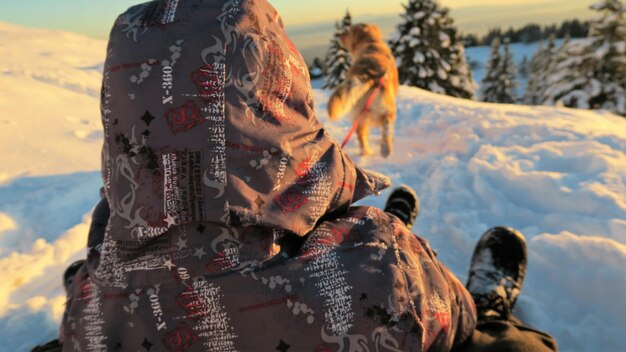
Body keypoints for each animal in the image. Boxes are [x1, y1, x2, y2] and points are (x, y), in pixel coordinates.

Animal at [326, 24, 400, 157]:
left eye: (348, 32)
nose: (339, 35)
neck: (371, 42)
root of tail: (368, 75)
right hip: (385, 110)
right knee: (385, 129)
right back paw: (384, 149)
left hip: (358, 115)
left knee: (364, 137)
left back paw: (371, 151)